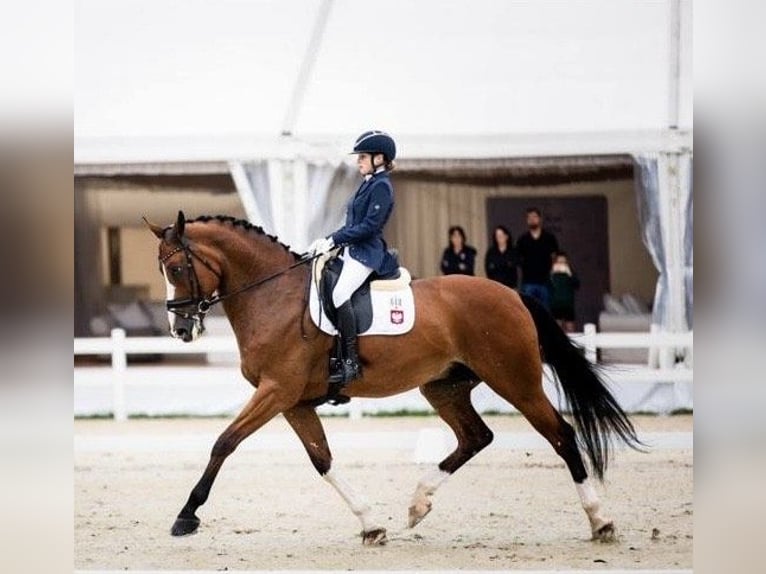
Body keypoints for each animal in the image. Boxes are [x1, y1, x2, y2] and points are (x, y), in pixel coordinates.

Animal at [146, 213, 640, 548]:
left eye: (177, 269)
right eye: (162, 270)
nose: (181, 330)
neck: (272, 295)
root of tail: (513, 294)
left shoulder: (277, 391)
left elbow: (224, 442)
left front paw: (186, 515)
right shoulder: (294, 401)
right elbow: (322, 460)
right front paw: (371, 524)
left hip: (515, 380)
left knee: (561, 434)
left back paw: (600, 520)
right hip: (444, 386)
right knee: (476, 436)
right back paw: (418, 503)